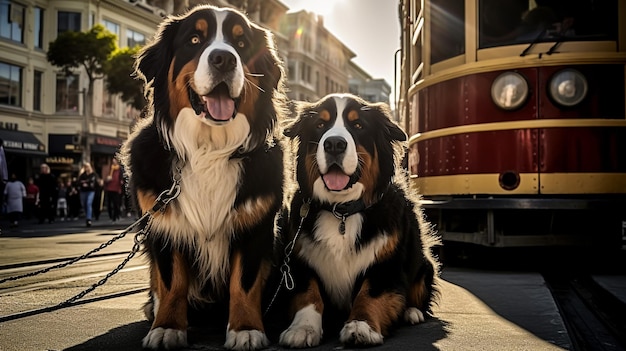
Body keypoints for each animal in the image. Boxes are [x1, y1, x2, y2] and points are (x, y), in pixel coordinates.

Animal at [118, 5, 286, 351]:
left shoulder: (255, 228)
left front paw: (245, 329)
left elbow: (244, 283)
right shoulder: (165, 225)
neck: (209, 148)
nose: (224, 59)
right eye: (194, 40)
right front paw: (167, 327)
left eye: (241, 43)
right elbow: (172, 282)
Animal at [278, 94, 438, 350]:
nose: (334, 144)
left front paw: (360, 326)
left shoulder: (385, 265)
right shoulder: (299, 260)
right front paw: (302, 328)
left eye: (358, 125)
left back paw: (412, 312)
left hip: (425, 263)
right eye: (320, 125)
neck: (342, 211)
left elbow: (368, 295)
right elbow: (308, 294)